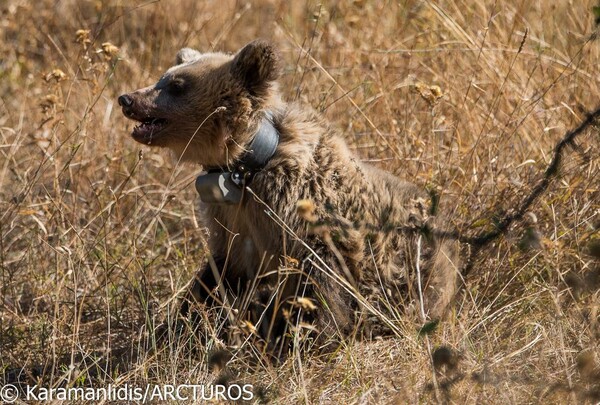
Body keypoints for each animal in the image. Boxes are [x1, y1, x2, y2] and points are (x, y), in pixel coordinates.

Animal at [120, 39, 460, 350]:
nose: (127, 98)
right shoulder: (233, 225)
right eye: (163, 77)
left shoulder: (307, 225)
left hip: (415, 268)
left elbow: (319, 291)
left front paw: (304, 338)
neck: (246, 168)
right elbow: (218, 278)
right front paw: (184, 324)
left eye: (177, 85)